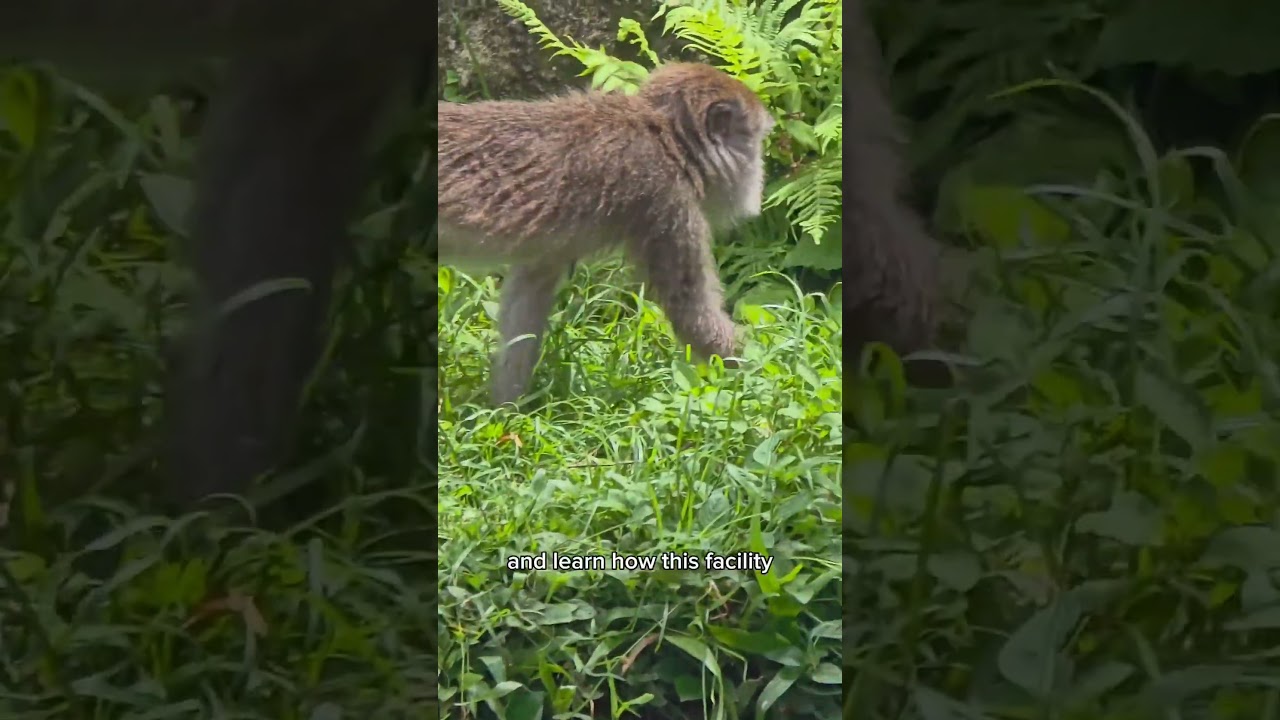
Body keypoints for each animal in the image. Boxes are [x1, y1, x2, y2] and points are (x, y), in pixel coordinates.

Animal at [437, 62, 775, 406]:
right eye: (755, 140)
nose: (759, 173)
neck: (663, 137)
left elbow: (529, 291)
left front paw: (508, 409)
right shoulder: (668, 202)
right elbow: (691, 314)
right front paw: (764, 372)